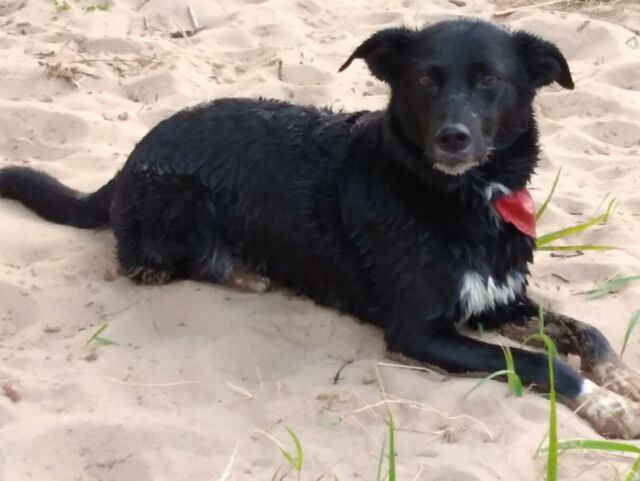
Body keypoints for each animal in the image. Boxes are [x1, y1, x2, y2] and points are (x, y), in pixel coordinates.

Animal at [2, 18, 640, 438]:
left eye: (490, 81)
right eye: (425, 80)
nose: (452, 139)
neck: (460, 197)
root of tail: (134, 153)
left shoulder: (497, 299)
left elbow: (584, 329)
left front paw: (618, 379)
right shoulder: (420, 332)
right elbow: (540, 363)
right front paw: (605, 407)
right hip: (176, 208)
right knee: (151, 264)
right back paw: (243, 273)